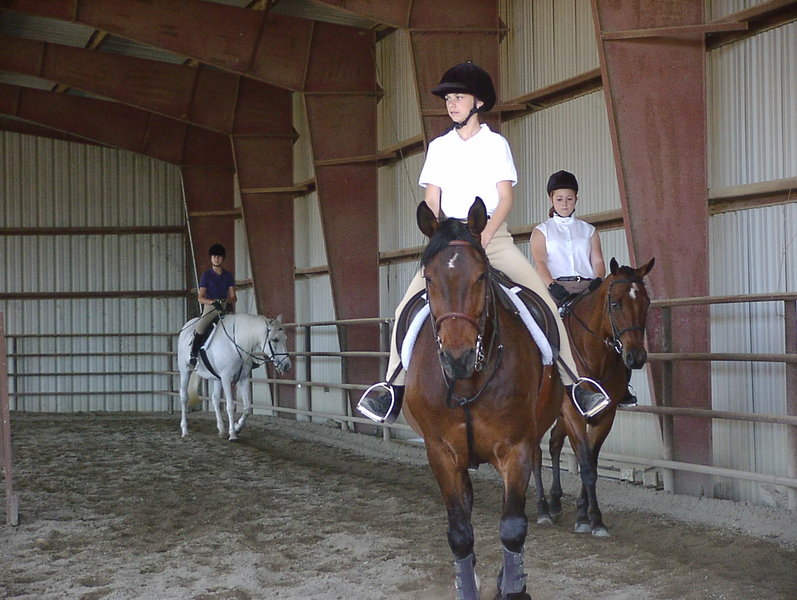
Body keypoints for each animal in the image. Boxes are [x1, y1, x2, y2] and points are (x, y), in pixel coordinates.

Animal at [402, 198, 563, 600]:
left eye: (479, 277)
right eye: (428, 279)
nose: (456, 358)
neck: (467, 382)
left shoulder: (516, 447)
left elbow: (513, 527)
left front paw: (514, 588)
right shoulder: (441, 452)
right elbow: (460, 531)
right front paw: (467, 584)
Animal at [532, 257, 655, 537]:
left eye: (646, 303)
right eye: (615, 303)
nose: (636, 357)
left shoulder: (604, 415)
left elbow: (592, 462)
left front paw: (588, 515)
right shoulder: (573, 413)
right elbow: (586, 464)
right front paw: (589, 519)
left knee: (554, 444)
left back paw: (555, 503)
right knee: (535, 453)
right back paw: (542, 509)